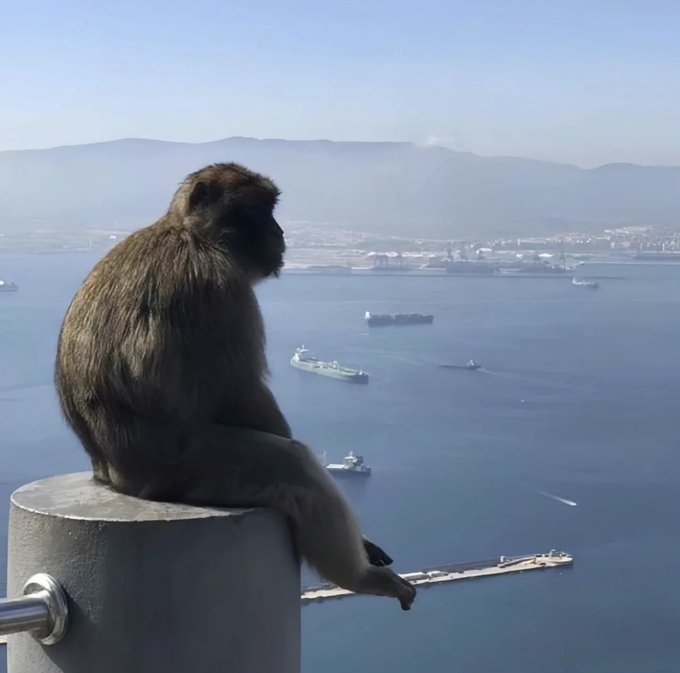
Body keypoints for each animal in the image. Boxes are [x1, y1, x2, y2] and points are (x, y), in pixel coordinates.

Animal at [54, 162, 416, 611]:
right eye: (259, 210)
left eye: (271, 209)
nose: (279, 230)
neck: (190, 234)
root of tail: (113, 477)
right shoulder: (220, 285)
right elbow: (243, 394)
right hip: (188, 470)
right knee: (293, 465)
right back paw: (360, 577)